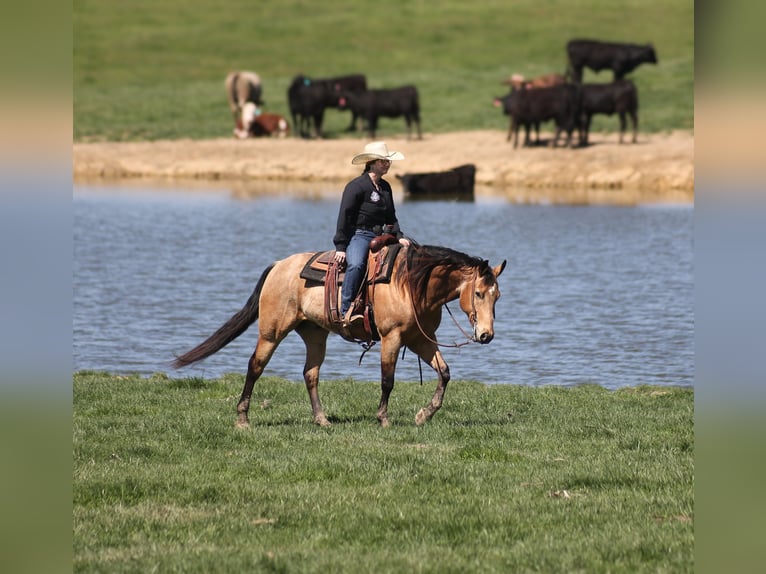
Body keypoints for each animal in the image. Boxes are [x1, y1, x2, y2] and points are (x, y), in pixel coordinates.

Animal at [172, 244, 506, 428]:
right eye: (478, 293)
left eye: (497, 296)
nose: (486, 335)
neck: (411, 285)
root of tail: (279, 266)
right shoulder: (392, 337)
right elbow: (388, 380)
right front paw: (383, 418)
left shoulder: (420, 339)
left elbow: (445, 373)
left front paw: (424, 414)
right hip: (271, 331)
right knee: (255, 366)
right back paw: (243, 419)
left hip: (314, 334)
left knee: (310, 374)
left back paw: (322, 419)